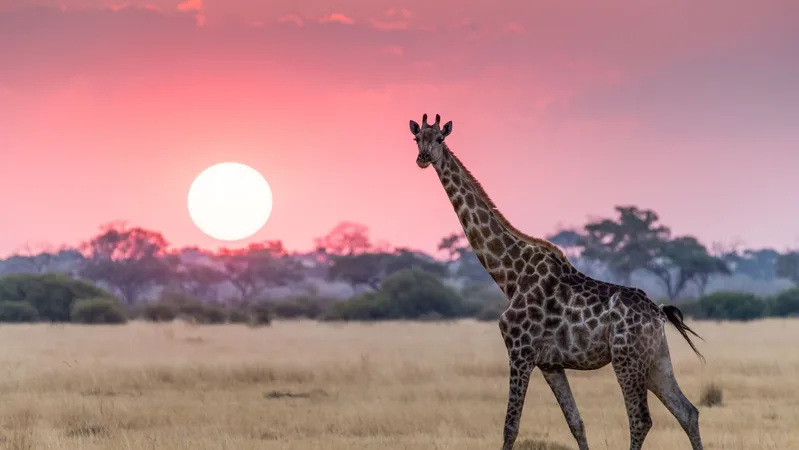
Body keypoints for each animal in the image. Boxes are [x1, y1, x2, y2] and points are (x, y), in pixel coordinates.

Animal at [408, 113, 705, 450]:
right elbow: (576, 423)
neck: (510, 275)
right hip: (655, 359)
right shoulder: (550, 364)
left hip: (626, 358)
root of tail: (658, 313)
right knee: (687, 411)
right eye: (417, 138)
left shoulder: (520, 351)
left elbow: (510, 426)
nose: (423, 158)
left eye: (440, 139)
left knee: (641, 419)